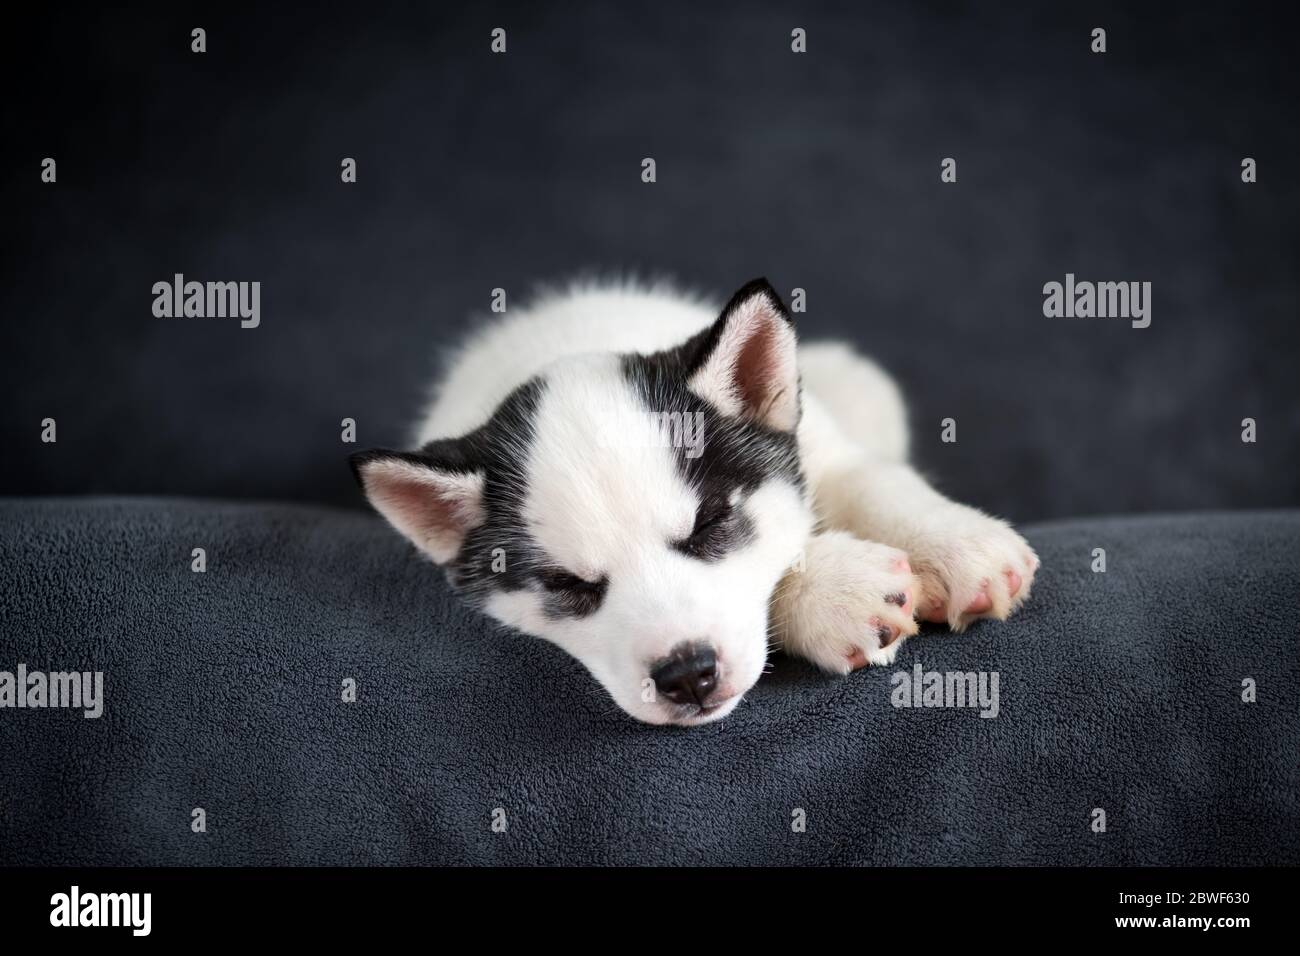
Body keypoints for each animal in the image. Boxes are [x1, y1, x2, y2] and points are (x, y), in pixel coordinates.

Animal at [351, 280, 1040, 728]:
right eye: (568, 585)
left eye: (710, 525)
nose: (686, 675)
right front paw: (837, 593)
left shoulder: (821, 449)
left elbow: (867, 480)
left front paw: (958, 546)